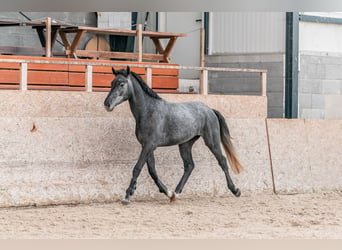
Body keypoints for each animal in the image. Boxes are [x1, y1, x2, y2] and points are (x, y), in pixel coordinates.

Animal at [104, 66, 243, 205]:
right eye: (111, 83)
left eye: (122, 84)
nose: (107, 104)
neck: (148, 111)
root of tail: (210, 110)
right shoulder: (147, 146)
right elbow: (152, 171)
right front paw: (167, 192)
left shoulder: (149, 145)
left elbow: (137, 168)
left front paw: (127, 196)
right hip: (185, 144)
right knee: (189, 166)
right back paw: (176, 193)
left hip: (211, 142)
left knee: (222, 161)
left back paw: (235, 190)